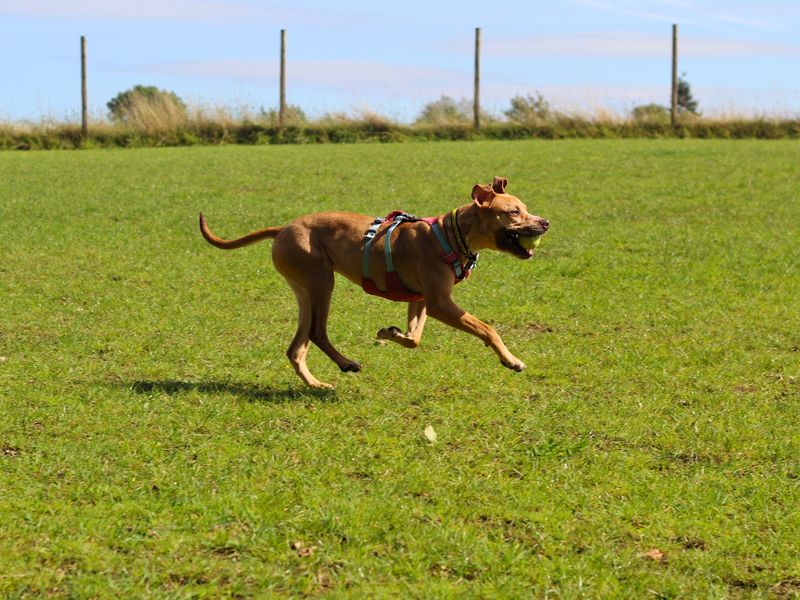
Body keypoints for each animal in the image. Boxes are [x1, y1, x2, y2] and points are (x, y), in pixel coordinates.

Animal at [200, 176, 552, 390]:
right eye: (513, 212)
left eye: (525, 209)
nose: (546, 222)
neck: (452, 234)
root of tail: (283, 228)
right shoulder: (441, 303)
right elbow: (487, 329)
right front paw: (511, 360)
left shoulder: (421, 300)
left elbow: (414, 338)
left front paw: (390, 333)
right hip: (320, 281)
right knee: (317, 333)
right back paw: (345, 364)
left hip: (304, 290)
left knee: (296, 347)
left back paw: (317, 383)